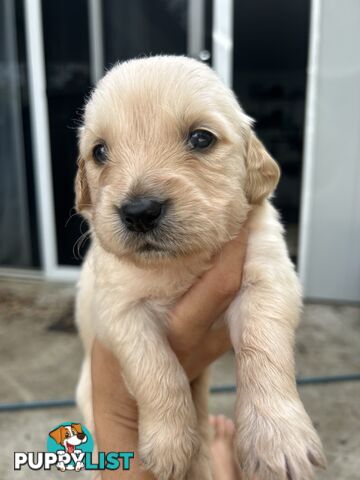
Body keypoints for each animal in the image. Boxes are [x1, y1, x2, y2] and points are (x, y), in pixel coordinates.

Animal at [74, 57, 324, 480]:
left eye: (201, 138)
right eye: (100, 151)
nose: (139, 212)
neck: (183, 259)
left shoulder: (267, 273)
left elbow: (263, 346)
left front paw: (278, 439)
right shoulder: (117, 310)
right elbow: (155, 368)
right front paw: (168, 444)